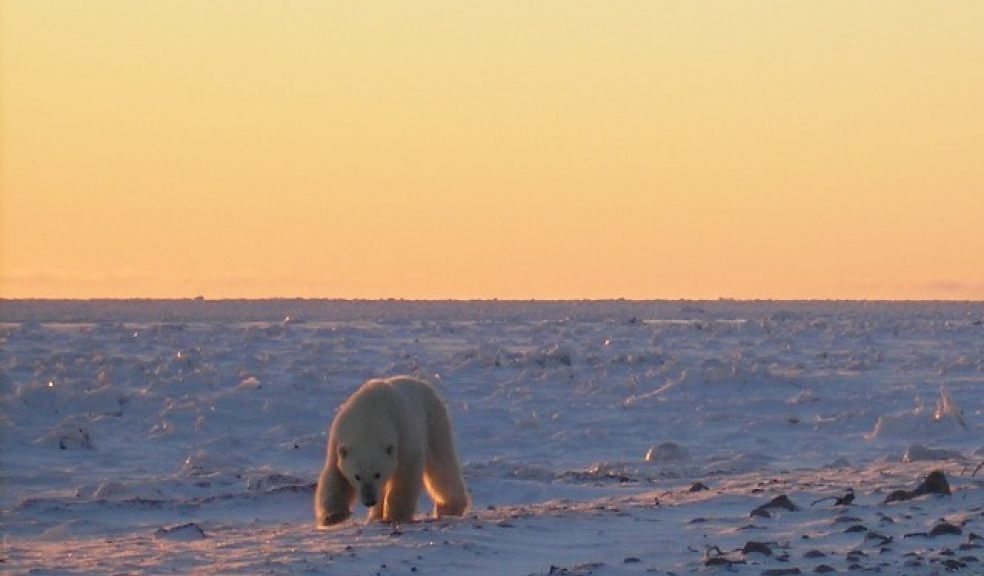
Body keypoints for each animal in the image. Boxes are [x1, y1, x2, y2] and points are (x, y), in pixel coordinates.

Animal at [316, 376, 468, 524]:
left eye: (377, 474)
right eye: (357, 476)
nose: (369, 501)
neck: (369, 418)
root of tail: (424, 384)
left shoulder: (403, 436)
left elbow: (406, 475)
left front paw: (395, 516)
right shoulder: (338, 438)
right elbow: (335, 476)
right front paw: (333, 516)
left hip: (434, 423)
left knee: (442, 466)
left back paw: (449, 507)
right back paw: (374, 516)